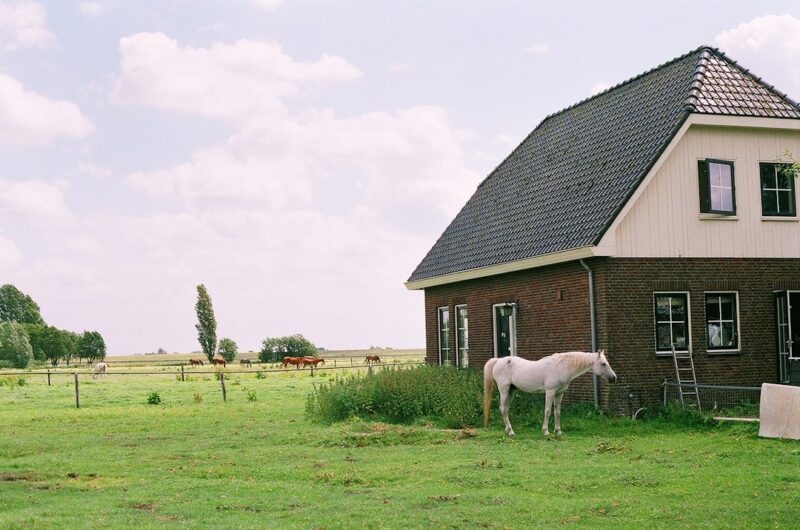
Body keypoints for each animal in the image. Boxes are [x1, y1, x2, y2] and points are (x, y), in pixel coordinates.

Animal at [483, 350, 617, 436]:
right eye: (603, 364)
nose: (614, 378)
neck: (561, 367)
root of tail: (498, 360)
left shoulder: (559, 393)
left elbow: (557, 412)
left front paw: (558, 431)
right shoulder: (550, 392)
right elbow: (547, 411)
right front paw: (546, 431)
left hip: (511, 390)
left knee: (505, 409)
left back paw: (508, 430)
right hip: (504, 390)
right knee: (502, 408)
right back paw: (511, 432)